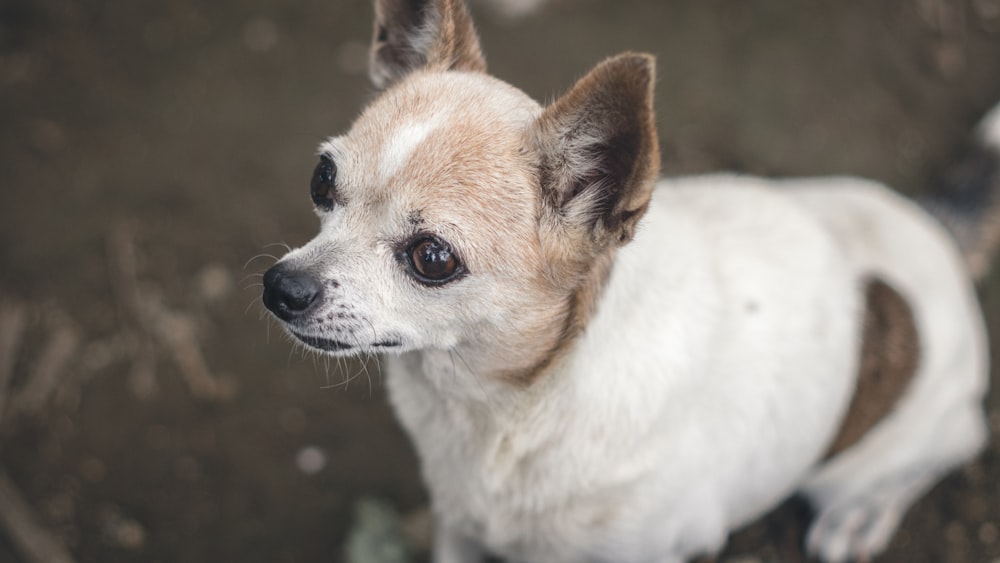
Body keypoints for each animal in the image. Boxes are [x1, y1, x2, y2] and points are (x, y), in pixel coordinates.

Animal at [260, 2, 1000, 560]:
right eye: (322, 180)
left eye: (432, 258)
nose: (279, 287)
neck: (509, 409)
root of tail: (934, 224)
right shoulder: (459, 530)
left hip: (865, 460)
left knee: (955, 441)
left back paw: (865, 514)